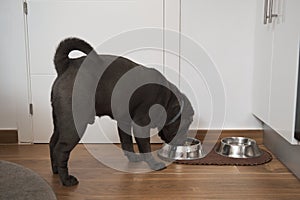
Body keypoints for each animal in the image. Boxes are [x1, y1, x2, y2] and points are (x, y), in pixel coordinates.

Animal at [49, 38, 195, 186]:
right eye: (185, 126)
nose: (183, 140)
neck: (166, 99)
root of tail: (66, 65)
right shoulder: (141, 125)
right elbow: (145, 147)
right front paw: (153, 164)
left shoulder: (124, 122)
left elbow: (127, 142)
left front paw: (132, 157)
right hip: (74, 126)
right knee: (61, 150)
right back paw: (66, 179)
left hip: (60, 124)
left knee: (52, 143)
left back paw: (56, 170)